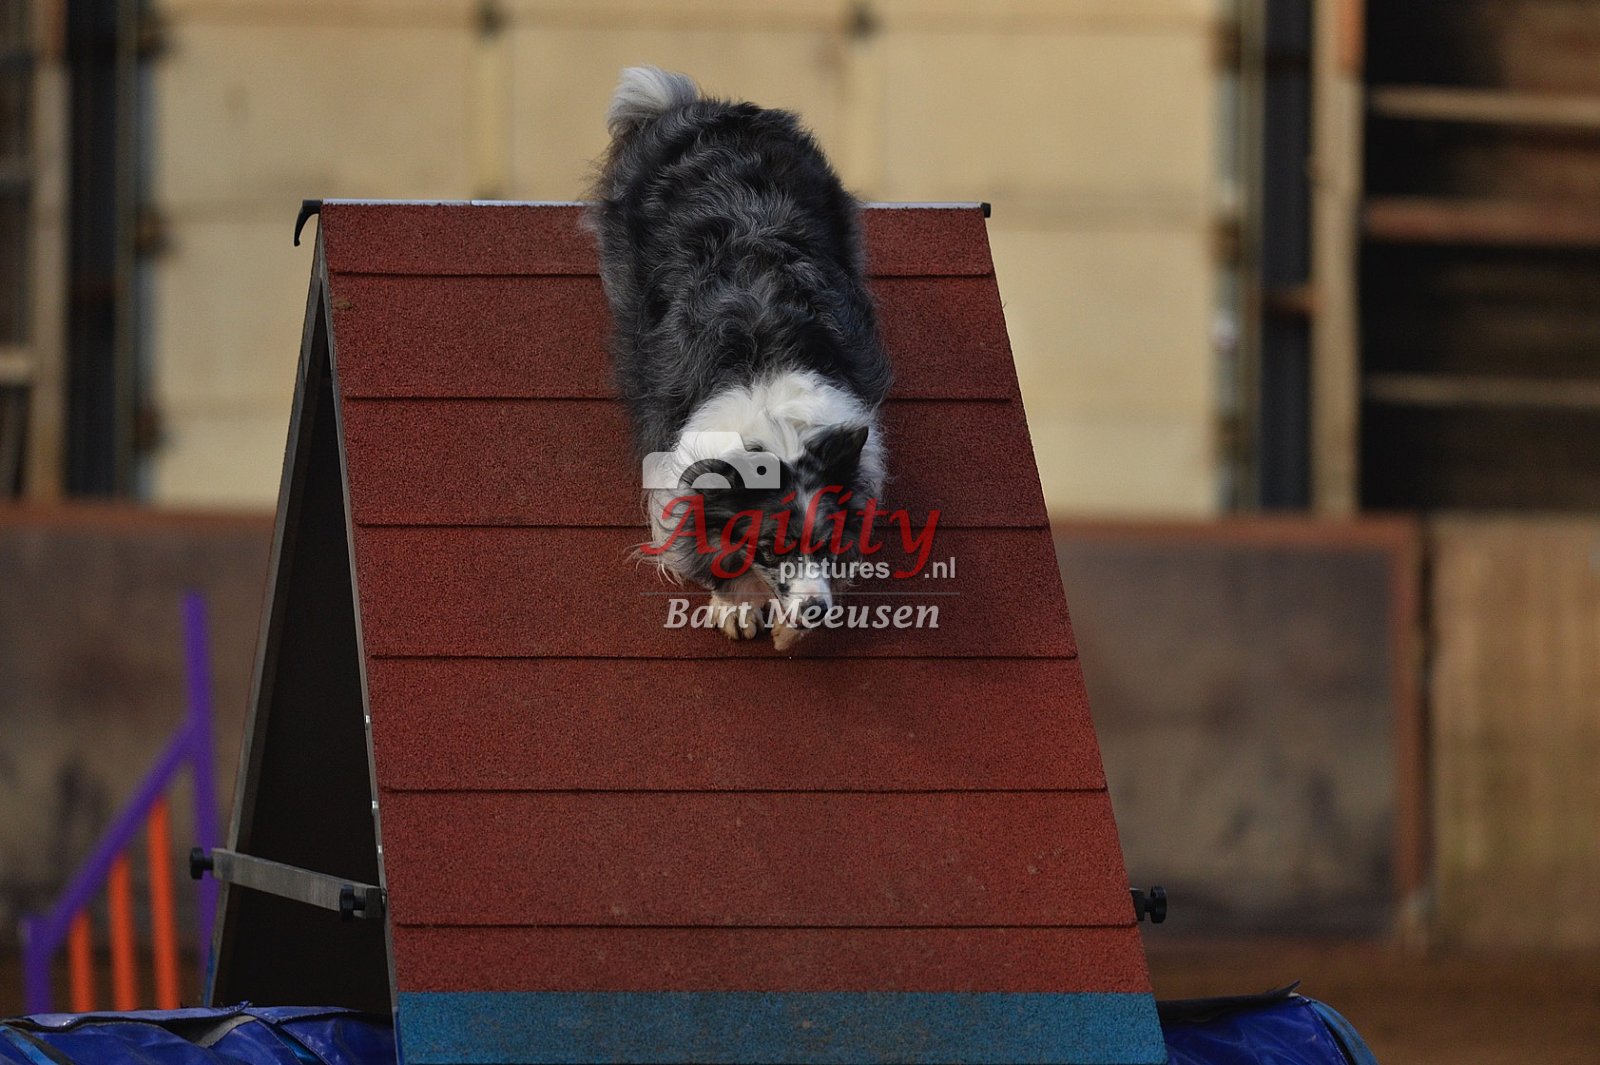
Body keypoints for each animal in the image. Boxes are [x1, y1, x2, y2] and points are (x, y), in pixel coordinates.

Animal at [590, 66, 891, 651]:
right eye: (773, 547)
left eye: (826, 544)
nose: (815, 611)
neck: (774, 419)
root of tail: (701, 109)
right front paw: (736, 606)